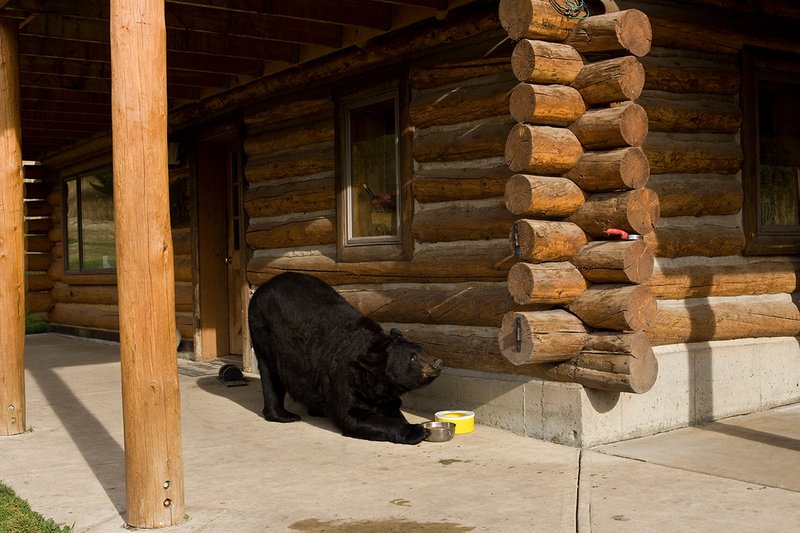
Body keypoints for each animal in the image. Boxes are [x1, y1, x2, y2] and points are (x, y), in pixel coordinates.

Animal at [248, 272, 444, 445]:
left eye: (422, 349)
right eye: (412, 358)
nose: (438, 362)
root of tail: (264, 285)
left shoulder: (381, 392)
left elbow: (391, 408)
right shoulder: (345, 377)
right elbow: (352, 416)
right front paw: (417, 430)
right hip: (264, 330)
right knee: (269, 371)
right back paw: (283, 415)